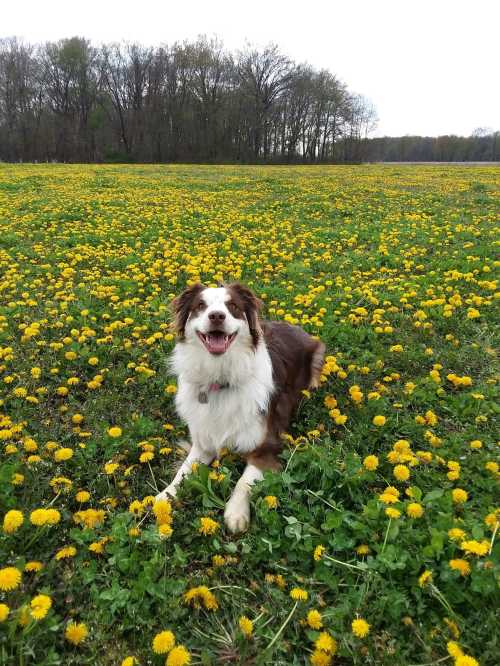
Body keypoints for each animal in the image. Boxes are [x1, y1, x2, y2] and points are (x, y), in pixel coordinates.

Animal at [158, 282, 326, 532]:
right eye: (201, 305)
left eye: (233, 306)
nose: (217, 316)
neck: (220, 379)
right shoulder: (203, 442)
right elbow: (183, 471)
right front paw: (164, 496)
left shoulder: (267, 447)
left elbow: (244, 482)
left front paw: (236, 513)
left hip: (318, 351)